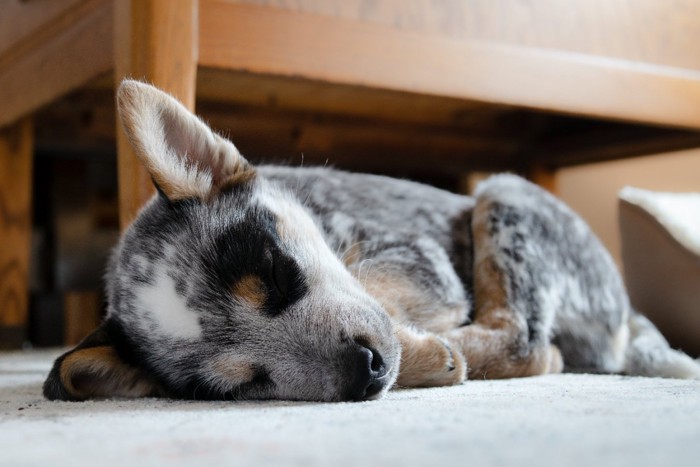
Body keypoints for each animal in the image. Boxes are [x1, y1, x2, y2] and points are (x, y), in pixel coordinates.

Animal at [42, 80, 700, 402]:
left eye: (278, 272)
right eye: (247, 384)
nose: (366, 370)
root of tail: (629, 317)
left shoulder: (417, 258)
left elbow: (374, 289)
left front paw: (425, 351)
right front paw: (424, 356)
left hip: (503, 194)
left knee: (530, 343)